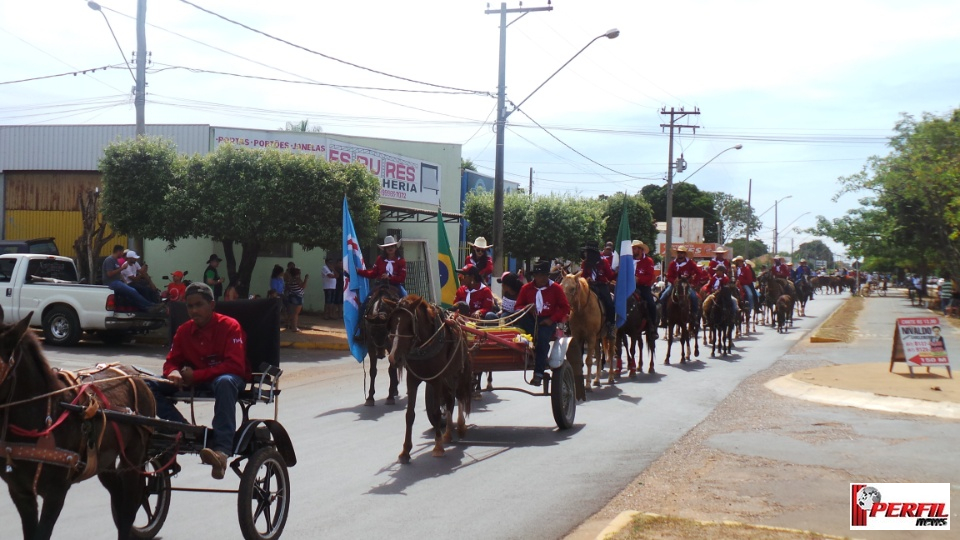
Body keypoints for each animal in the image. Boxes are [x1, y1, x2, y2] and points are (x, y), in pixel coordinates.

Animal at [0, 312, 156, 540]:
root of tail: (137, 376)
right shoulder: (21, 492)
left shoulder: (56, 492)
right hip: (105, 461)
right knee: (118, 499)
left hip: (134, 456)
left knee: (128, 508)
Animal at [384, 296, 470, 464]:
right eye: (392, 323)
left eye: (409, 324)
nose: (393, 358)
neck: (424, 345)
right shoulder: (412, 380)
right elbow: (409, 414)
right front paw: (405, 451)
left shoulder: (436, 380)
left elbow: (436, 412)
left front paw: (438, 447)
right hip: (446, 378)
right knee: (449, 400)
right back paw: (448, 433)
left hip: (457, 372)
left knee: (460, 396)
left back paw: (460, 425)